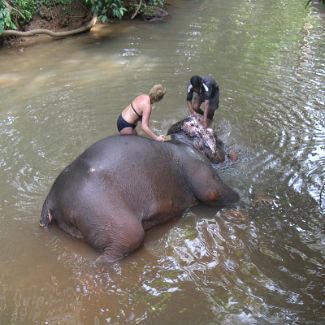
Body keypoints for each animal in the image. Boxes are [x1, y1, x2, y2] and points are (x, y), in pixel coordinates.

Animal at [39, 116, 238, 264]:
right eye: (215, 135)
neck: (182, 142)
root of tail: (51, 199)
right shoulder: (198, 165)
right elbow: (213, 192)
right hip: (107, 214)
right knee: (122, 243)